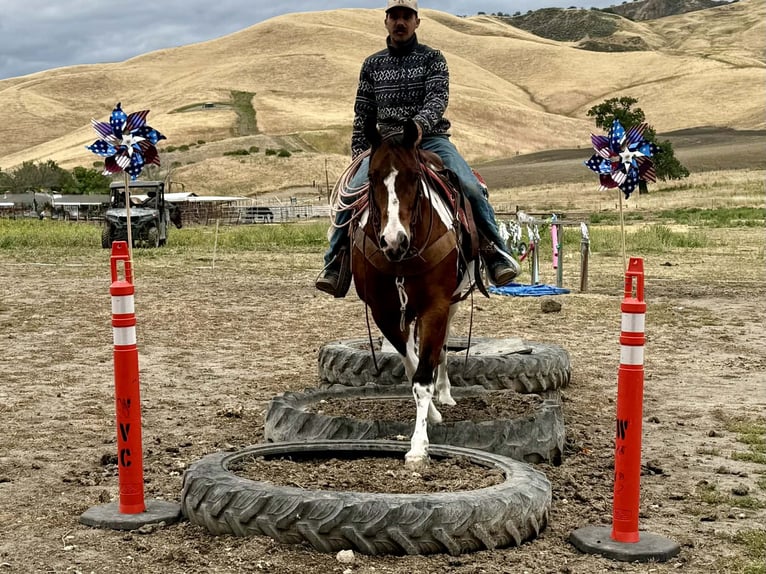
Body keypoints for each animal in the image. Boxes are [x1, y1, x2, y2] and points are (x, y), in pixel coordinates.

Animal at [351, 119, 476, 470]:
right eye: (371, 177)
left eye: (414, 177)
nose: (394, 240)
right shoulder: (385, 312)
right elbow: (412, 364)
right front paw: (430, 416)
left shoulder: (436, 307)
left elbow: (423, 377)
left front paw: (419, 446)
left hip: (451, 305)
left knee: (443, 349)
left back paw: (445, 392)